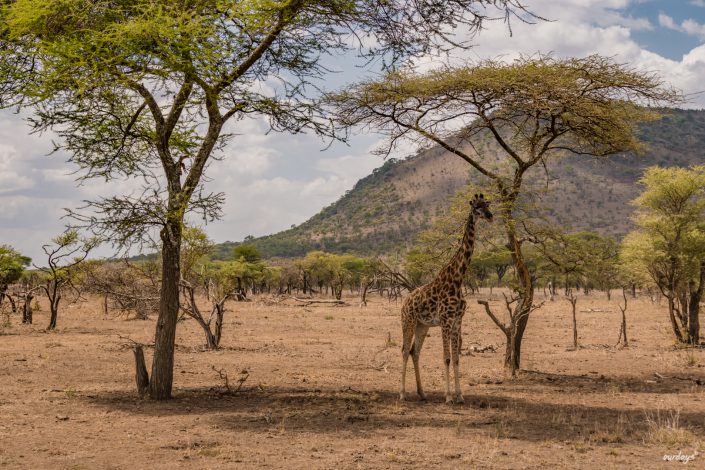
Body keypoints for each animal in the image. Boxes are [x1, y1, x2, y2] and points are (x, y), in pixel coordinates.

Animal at [398, 194, 492, 404]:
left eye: (487, 205)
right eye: (476, 207)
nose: (490, 216)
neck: (458, 279)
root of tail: (405, 302)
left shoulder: (457, 321)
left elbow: (456, 358)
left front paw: (460, 395)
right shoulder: (445, 320)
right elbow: (446, 358)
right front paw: (448, 397)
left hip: (422, 325)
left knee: (414, 352)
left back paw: (422, 393)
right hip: (408, 322)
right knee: (404, 351)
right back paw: (402, 393)